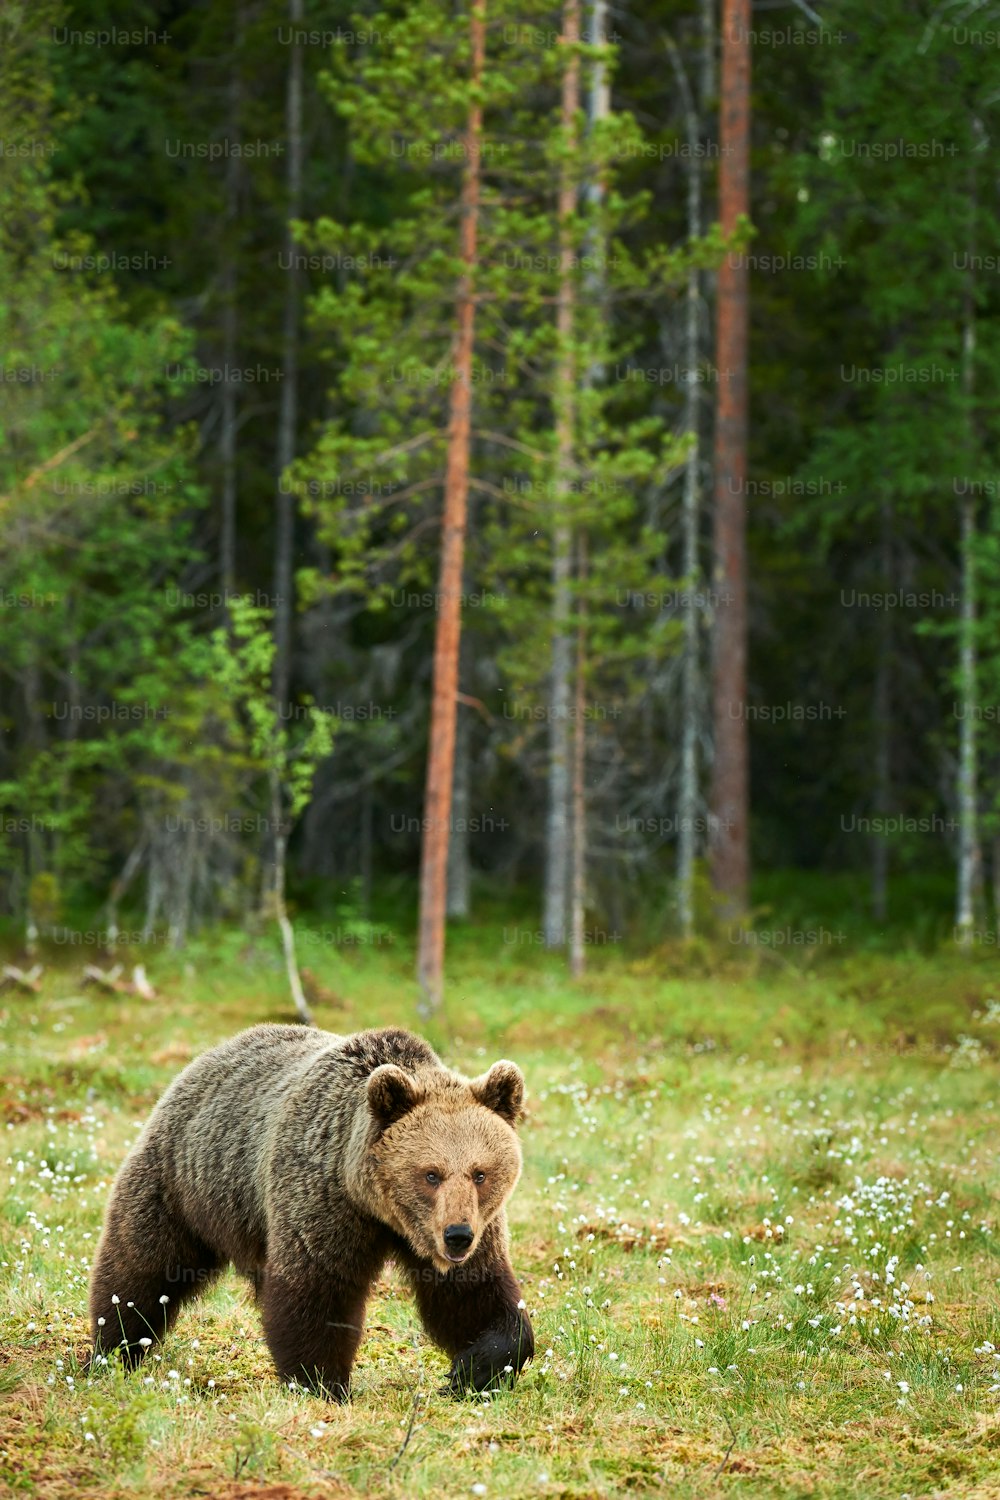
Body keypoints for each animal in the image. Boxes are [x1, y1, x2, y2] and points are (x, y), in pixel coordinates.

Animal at [89, 1026, 536, 1398]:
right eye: (431, 1174)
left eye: (480, 1173)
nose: (457, 1235)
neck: (378, 1209)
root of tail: (208, 1056)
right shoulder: (321, 1199)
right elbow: (315, 1291)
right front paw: (323, 1383)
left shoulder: (476, 1227)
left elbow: (474, 1296)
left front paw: (472, 1370)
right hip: (185, 1182)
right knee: (141, 1266)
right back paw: (113, 1349)